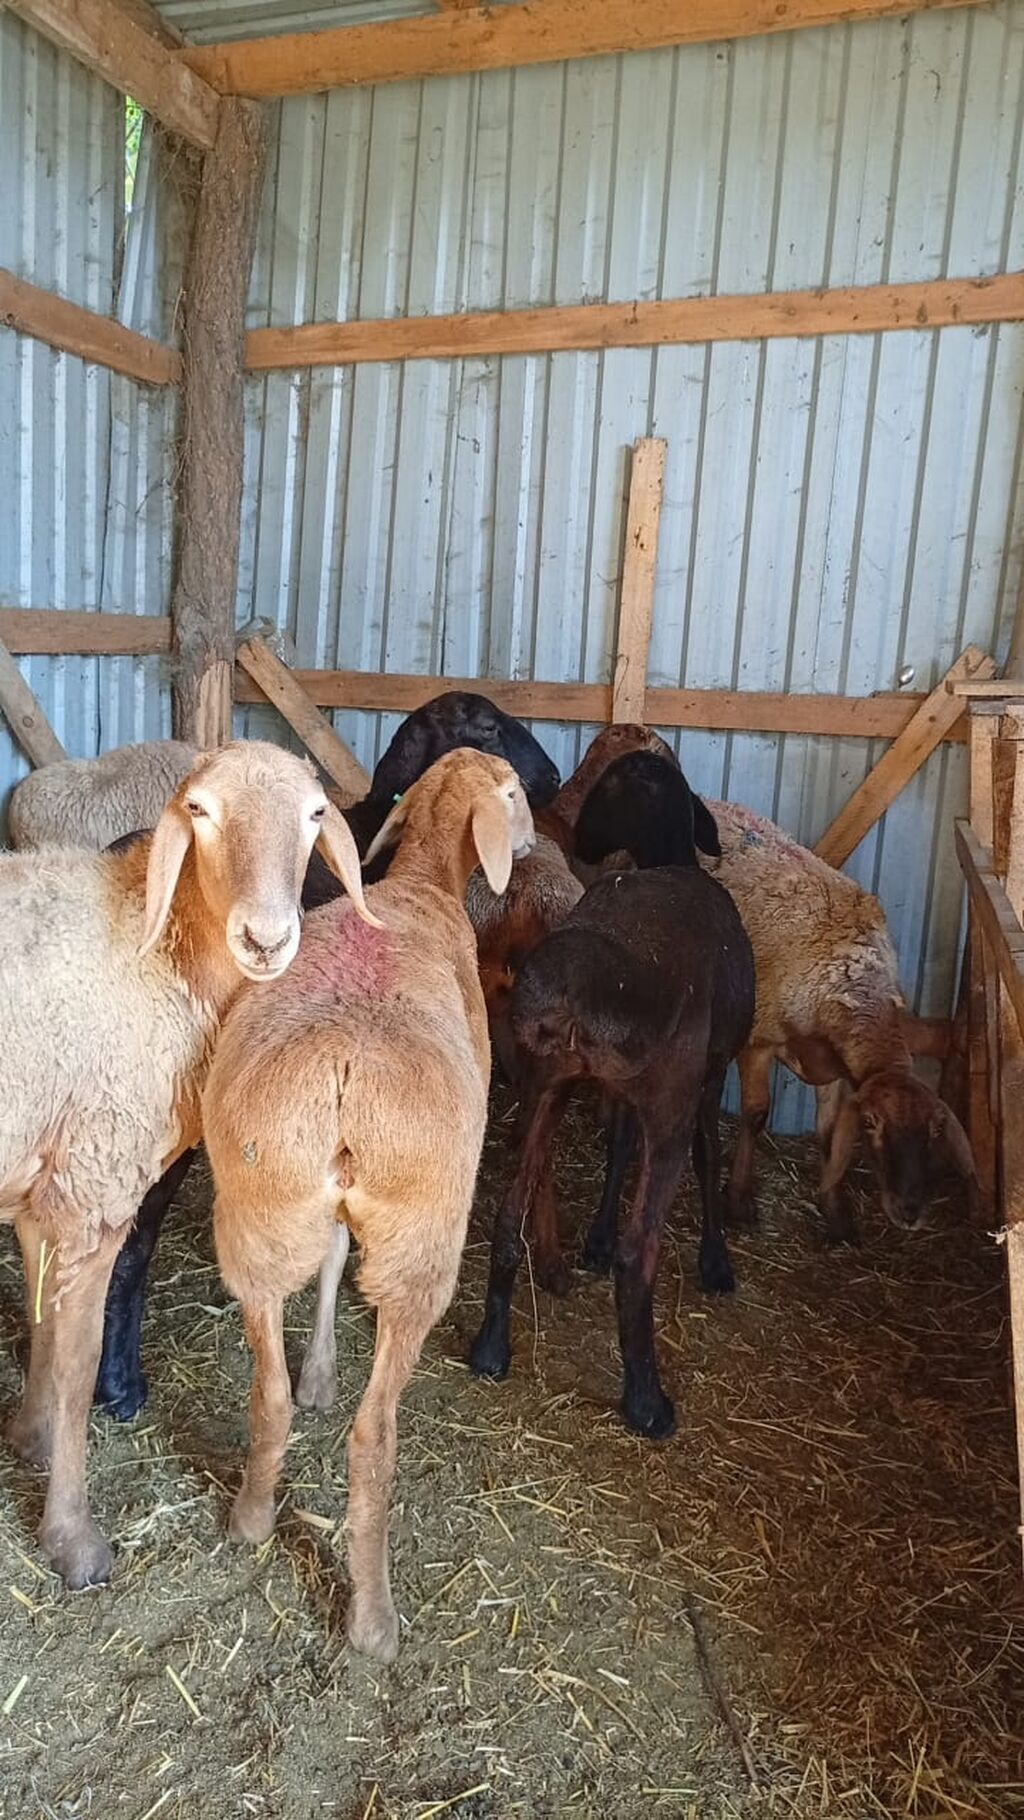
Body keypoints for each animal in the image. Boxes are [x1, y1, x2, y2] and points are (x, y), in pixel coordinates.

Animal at [202, 749, 534, 1662]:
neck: (423, 882)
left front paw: (318, 1370)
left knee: (268, 1391)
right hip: (425, 1239)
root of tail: (344, 1068)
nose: (534, 844)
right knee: (373, 1437)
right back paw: (374, 1620)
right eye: (517, 793)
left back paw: (251, 1518)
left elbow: (330, 1265)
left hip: (256, 1208)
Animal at [469, 750, 754, 1440]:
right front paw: (716, 1261)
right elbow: (708, 1153)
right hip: (666, 1100)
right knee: (638, 1254)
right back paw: (647, 1401)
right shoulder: (704, 1076)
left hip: (546, 1085)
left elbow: (617, 1146)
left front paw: (593, 1240)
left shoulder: (613, 1088)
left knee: (508, 1213)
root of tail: (574, 984)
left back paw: (491, 1348)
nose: (584, 841)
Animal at [696, 799, 978, 1240]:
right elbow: (755, 1115)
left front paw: (835, 1209)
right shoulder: (759, 1040)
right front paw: (738, 1200)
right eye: (872, 1123)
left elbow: (828, 1131)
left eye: (936, 1130)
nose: (909, 1211)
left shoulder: (835, 1062)